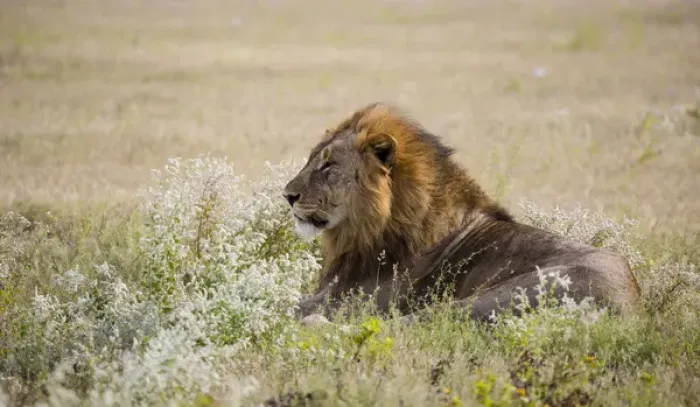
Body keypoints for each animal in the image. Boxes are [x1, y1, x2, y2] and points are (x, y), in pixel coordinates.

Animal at [283, 102, 641, 323]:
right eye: (312, 158)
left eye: (329, 165)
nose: (287, 195)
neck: (363, 232)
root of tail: (633, 302)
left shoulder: (358, 299)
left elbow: (290, 305)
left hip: (499, 295)